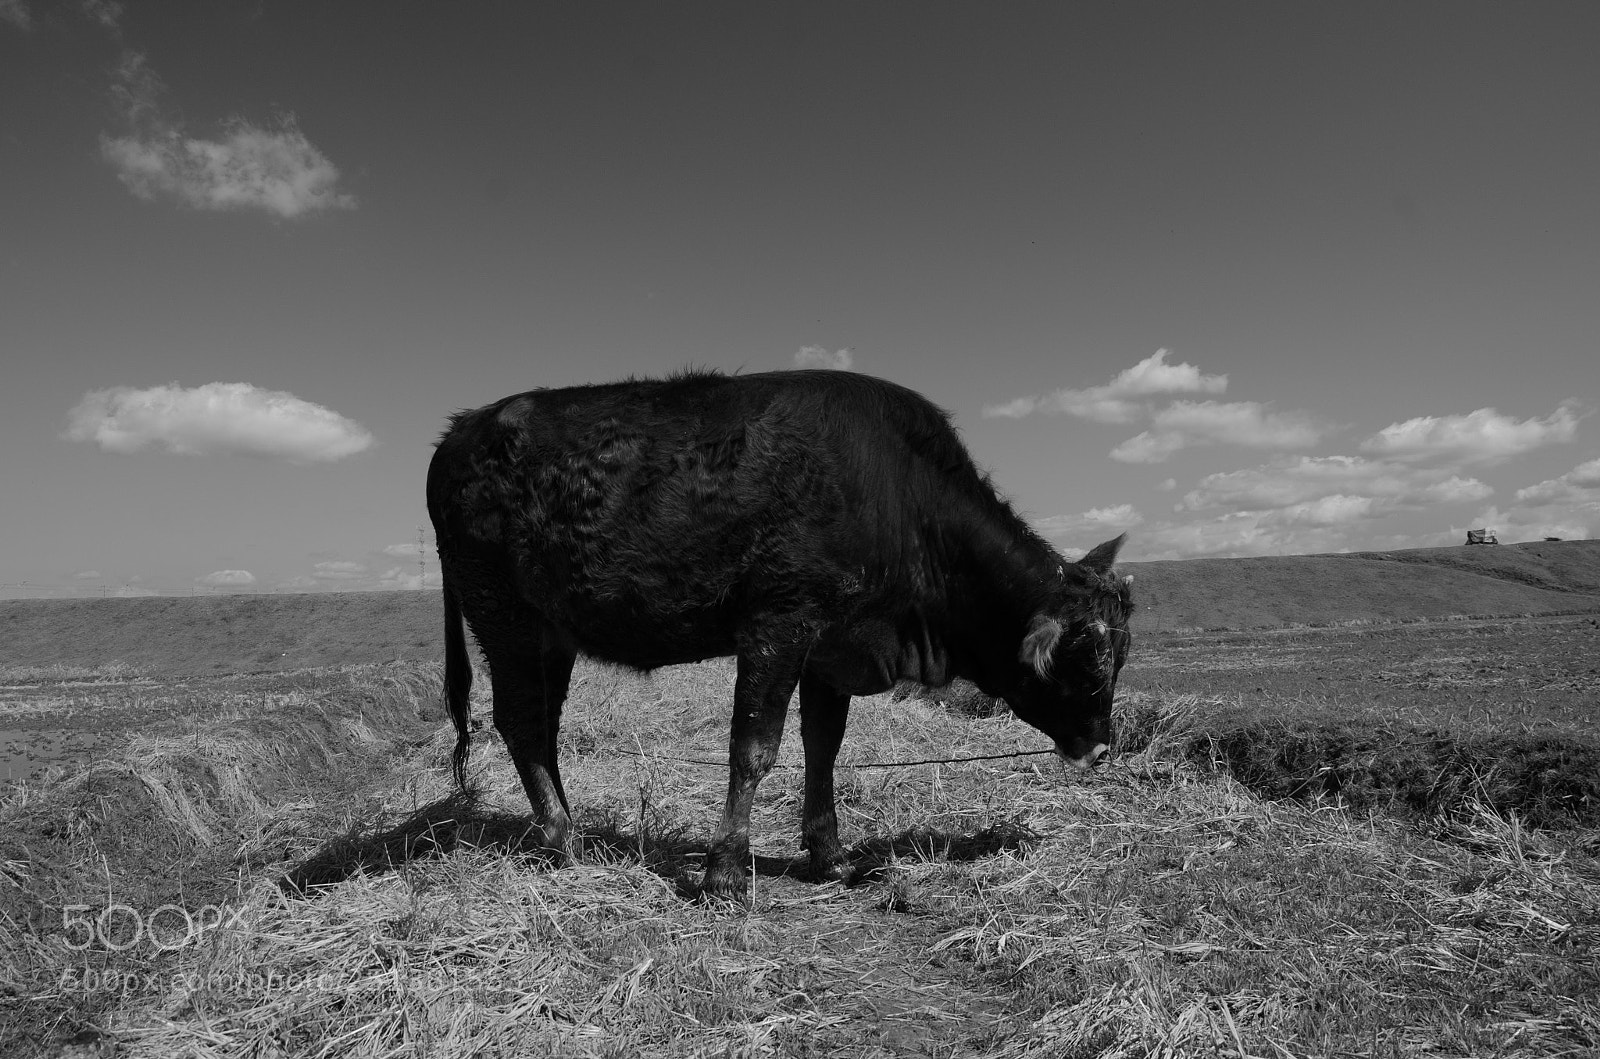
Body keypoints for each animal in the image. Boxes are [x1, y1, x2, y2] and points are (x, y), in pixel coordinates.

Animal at [426, 369, 1133, 898]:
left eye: (1121, 653)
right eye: (1086, 659)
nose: (1102, 748)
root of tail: (462, 427)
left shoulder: (833, 645)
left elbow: (823, 746)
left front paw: (830, 856)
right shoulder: (779, 623)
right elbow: (754, 747)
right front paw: (725, 873)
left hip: (552, 632)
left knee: (543, 723)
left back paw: (569, 828)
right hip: (504, 617)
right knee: (520, 720)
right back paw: (561, 839)